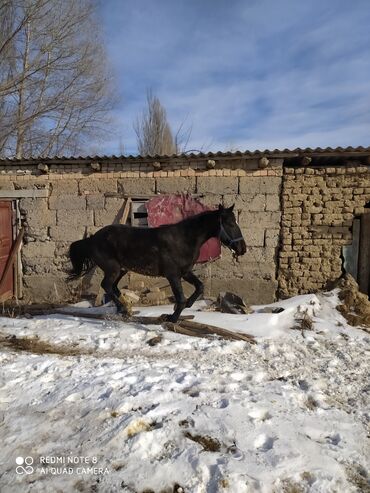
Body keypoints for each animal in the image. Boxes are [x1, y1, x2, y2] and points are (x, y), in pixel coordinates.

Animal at [67, 204, 246, 322]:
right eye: (230, 223)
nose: (242, 248)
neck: (183, 240)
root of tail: (92, 239)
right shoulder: (172, 275)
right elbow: (180, 298)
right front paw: (172, 317)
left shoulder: (185, 272)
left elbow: (200, 287)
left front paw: (188, 305)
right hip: (113, 269)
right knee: (106, 286)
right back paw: (123, 309)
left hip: (121, 269)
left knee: (113, 287)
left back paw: (124, 308)